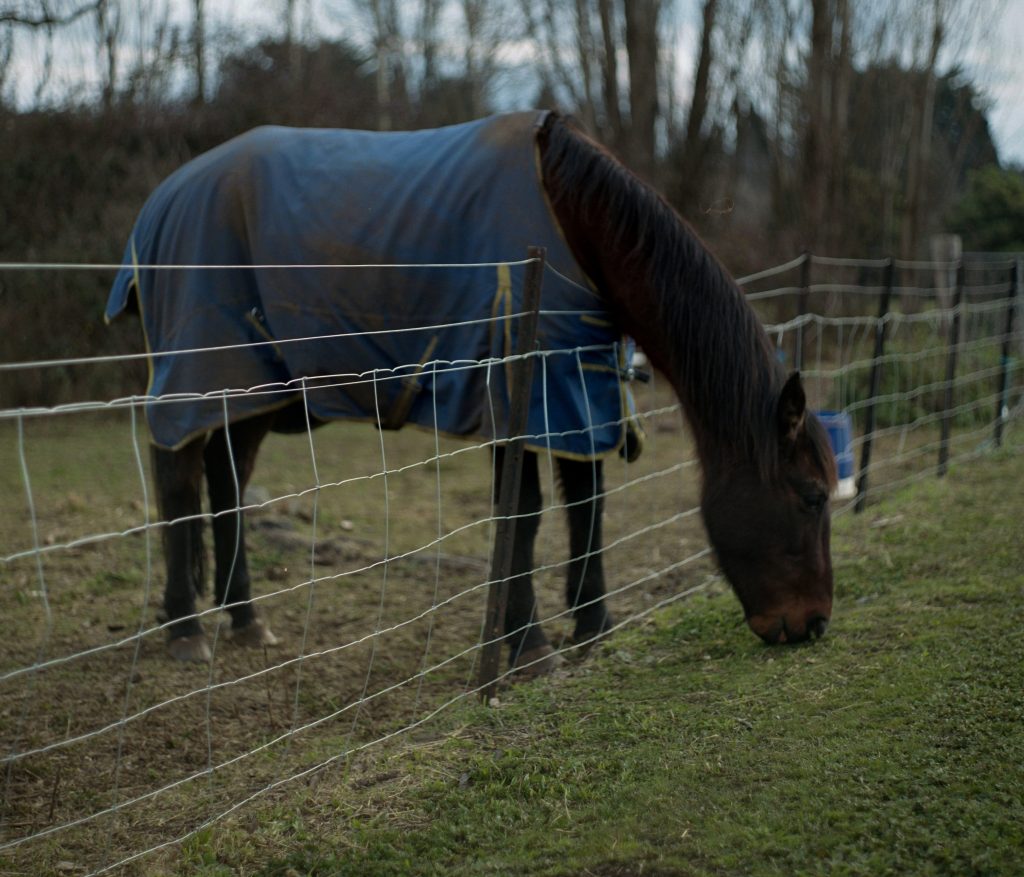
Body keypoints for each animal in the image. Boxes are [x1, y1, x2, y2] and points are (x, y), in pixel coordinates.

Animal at [106, 110, 836, 668]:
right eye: (812, 496)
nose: (813, 624)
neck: (573, 225)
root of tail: (163, 199)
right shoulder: (520, 395)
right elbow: (525, 513)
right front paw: (529, 645)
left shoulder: (577, 390)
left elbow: (587, 505)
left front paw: (591, 629)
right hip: (204, 381)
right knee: (177, 485)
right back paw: (185, 629)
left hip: (253, 394)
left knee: (226, 486)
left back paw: (245, 619)